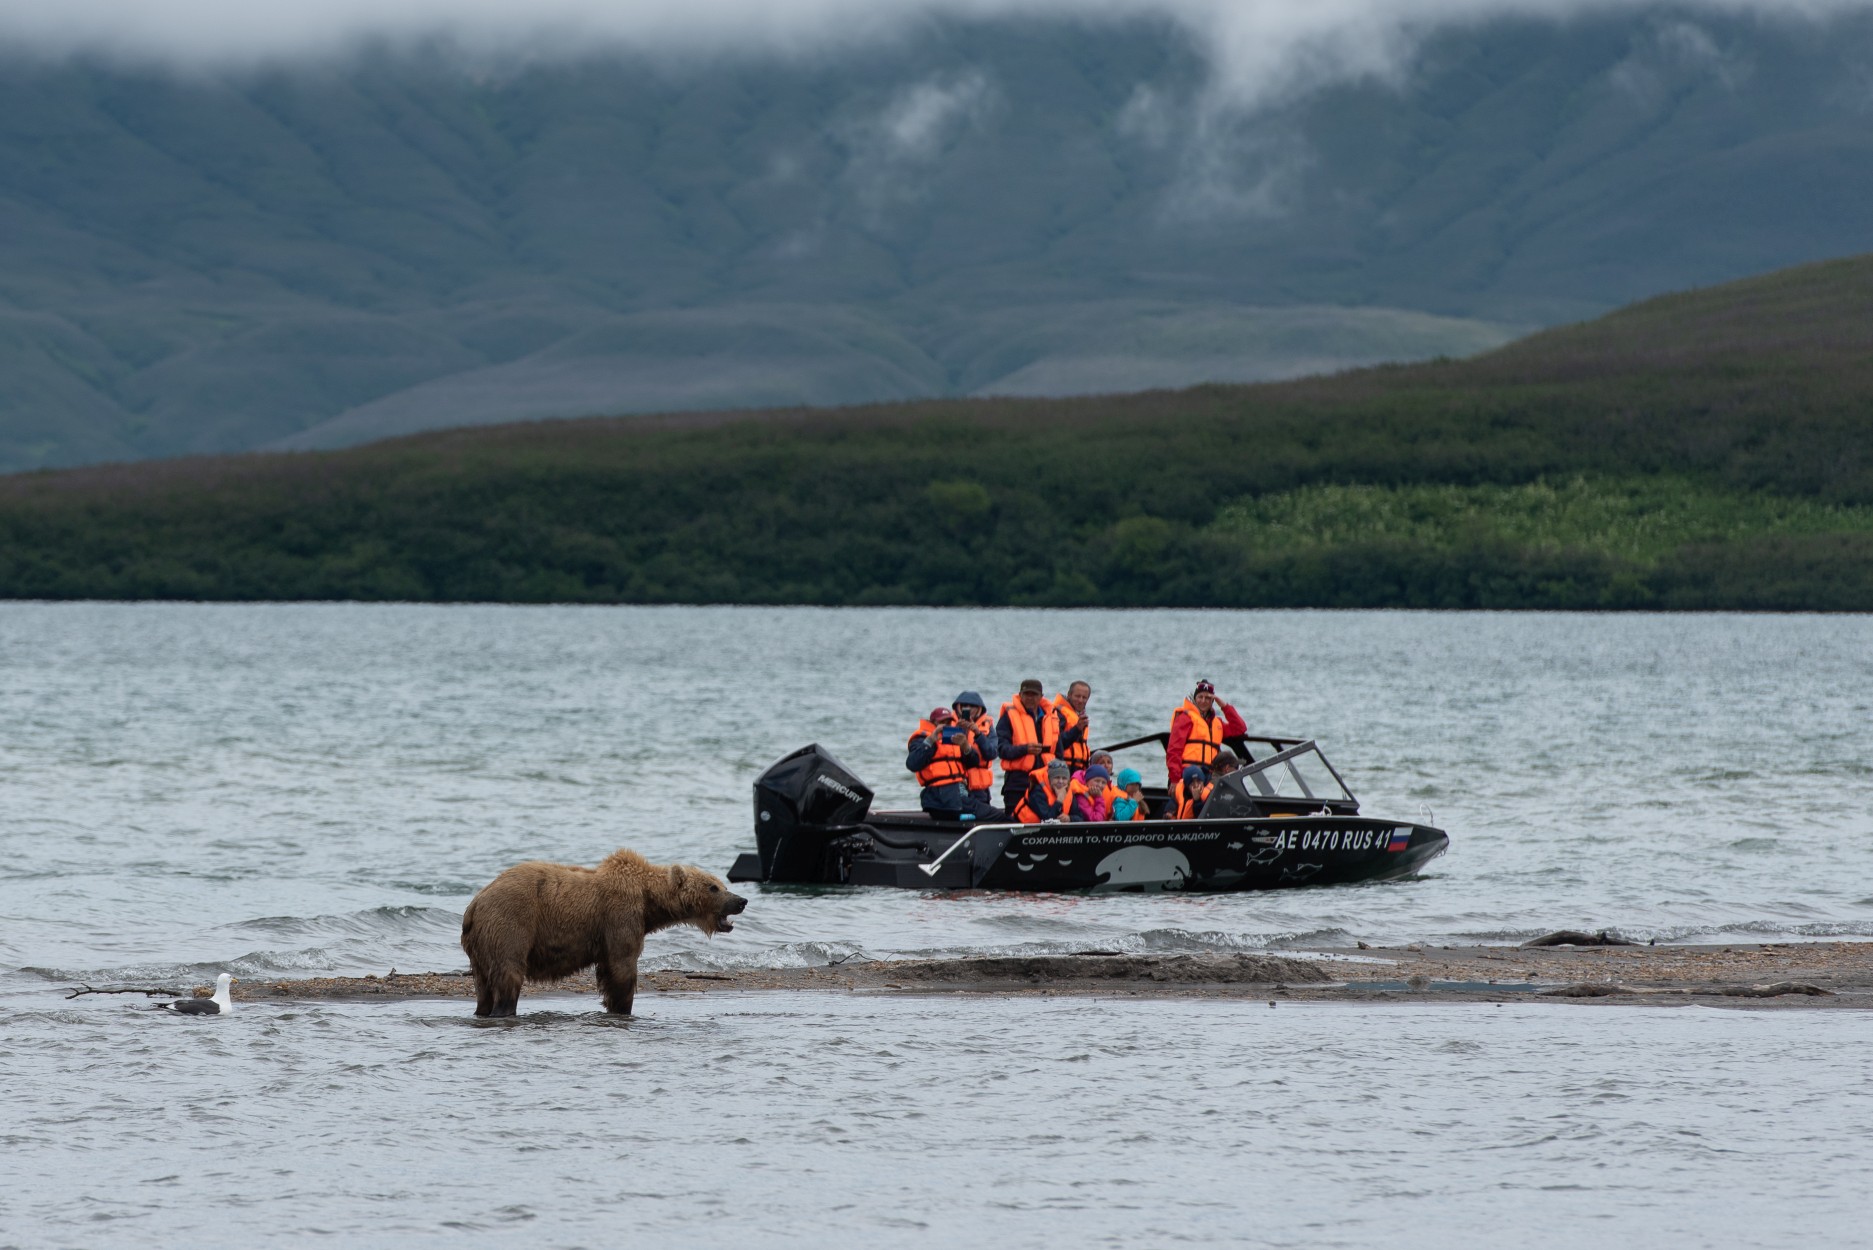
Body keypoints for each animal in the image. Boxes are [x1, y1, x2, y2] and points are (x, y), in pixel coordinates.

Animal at [460, 850, 745, 1019]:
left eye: (721, 884)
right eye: (713, 887)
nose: (741, 900)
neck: (648, 901)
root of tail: (475, 904)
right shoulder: (620, 917)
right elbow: (622, 966)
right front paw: (622, 1008)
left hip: (480, 946)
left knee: (483, 985)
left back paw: (483, 1010)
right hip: (510, 923)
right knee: (509, 973)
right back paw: (503, 1010)